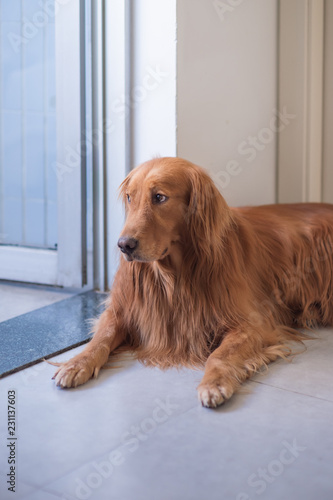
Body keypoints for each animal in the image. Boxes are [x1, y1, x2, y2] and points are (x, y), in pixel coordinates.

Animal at [52, 158, 332, 408]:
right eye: (130, 197)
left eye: (159, 197)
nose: (124, 245)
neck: (176, 273)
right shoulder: (123, 311)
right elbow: (100, 338)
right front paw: (76, 363)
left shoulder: (253, 324)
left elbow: (219, 355)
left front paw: (213, 383)